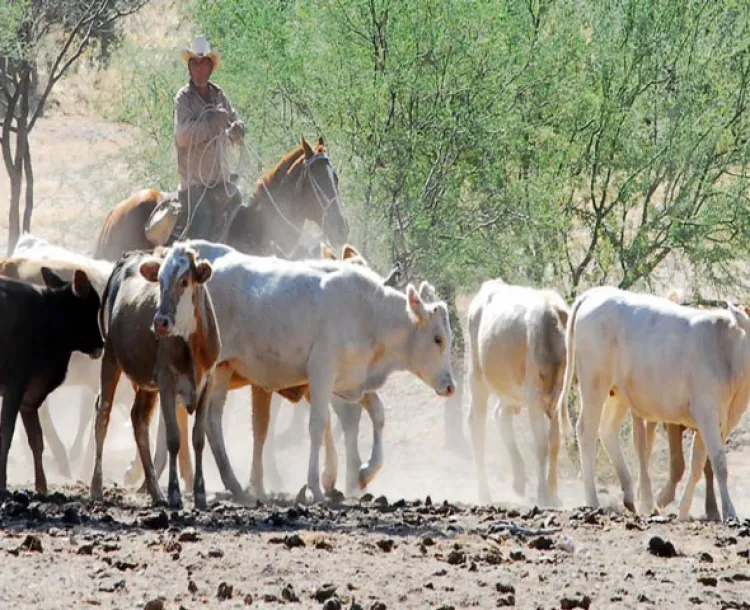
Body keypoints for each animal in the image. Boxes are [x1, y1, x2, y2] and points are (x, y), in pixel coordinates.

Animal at [0, 268, 103, 494]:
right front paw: (2, 483)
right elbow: (6, 434)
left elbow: (37, 440)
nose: (100, 346)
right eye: (92, 306)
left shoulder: (29, 399)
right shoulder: (14, 387)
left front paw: (42, 486)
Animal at [144, 240, 456, 502]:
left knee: (211, 420)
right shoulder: (321, 373)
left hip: (222, 369)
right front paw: (317, 486)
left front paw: (364, 472)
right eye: (438, 338)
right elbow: (318, 424)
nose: (450, 386)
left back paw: (235, 485)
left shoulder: (349, 382)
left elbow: (377, 415)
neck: (369, 314)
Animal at [470, 280, 568, 504]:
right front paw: (543, 494)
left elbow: (554, 443)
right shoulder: (534, 397)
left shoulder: (556, 399)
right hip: (477, 376)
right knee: (476, 425)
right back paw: (484, 492)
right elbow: (541, 444)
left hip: (509, 390)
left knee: (501, 415)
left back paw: (519, 479)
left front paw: (553, 493)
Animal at [560, 284, 750, 516]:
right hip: (594, 384)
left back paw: (629, 496)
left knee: (607, 429)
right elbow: (718, 463)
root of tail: (595, 293)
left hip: (619, 394)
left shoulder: (723, 420)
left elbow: (698, 465)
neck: (727, 351)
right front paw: (730, 512)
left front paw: (683, 511)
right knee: (586, 431)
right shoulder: (706, 413)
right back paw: (593, 500)